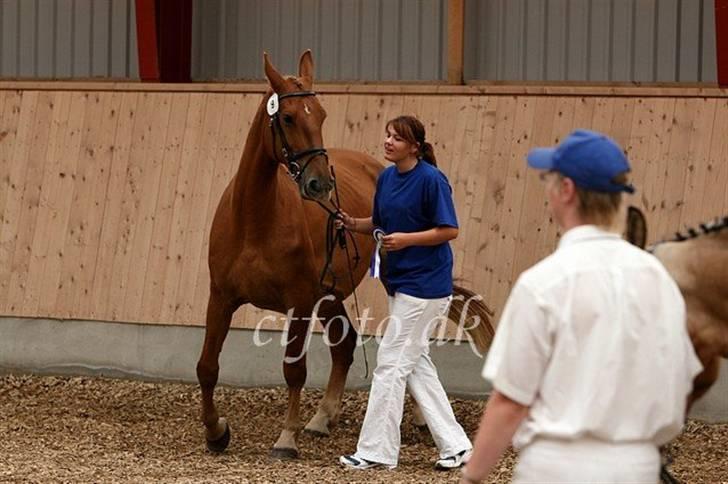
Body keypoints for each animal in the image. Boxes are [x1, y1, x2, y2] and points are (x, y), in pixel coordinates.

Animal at [195, 51, 494, 460]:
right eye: (287, 118)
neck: (255, 220)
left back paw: (415, 418)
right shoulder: (221, 298)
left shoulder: (299, 303)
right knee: (346, 344)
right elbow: (207, 366)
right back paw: (322, 417)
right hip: (330, 293)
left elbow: (294, 370)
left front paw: (286, 438)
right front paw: (216, 432)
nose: (319, 183)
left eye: (321, 115)